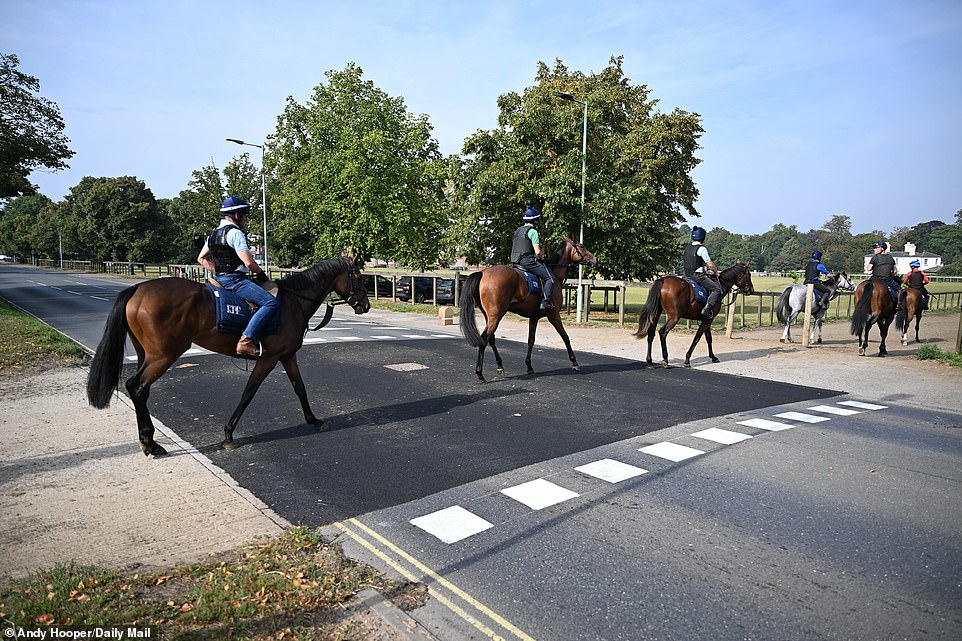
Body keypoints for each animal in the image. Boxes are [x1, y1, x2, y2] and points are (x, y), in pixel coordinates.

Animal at [84, 255, 370, 456]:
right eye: (358, 277)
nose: (365, 305)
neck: (292, 302)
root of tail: (138, 289)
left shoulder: (287, 356)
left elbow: (300, 388)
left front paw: (314, 420)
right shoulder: (268, 358)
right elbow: (249, 393)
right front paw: (229, 434)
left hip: (147, 354)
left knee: (140, 390)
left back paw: (149, 441)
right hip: (163, 355)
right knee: (137, 387)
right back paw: (149, 442)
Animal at [456, 238, 592, 382]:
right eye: (582, 246)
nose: (594, 259)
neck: (554, 274)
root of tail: (482, 273)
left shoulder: (534, 318)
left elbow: (531, 341)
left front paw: (529, 366)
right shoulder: (554, 316)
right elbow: (565, 337)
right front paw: (574, 362)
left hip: (490, 317)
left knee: (490, 339)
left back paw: (500, 366)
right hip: (496, 316)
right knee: (484, 340)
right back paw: (480, 373)